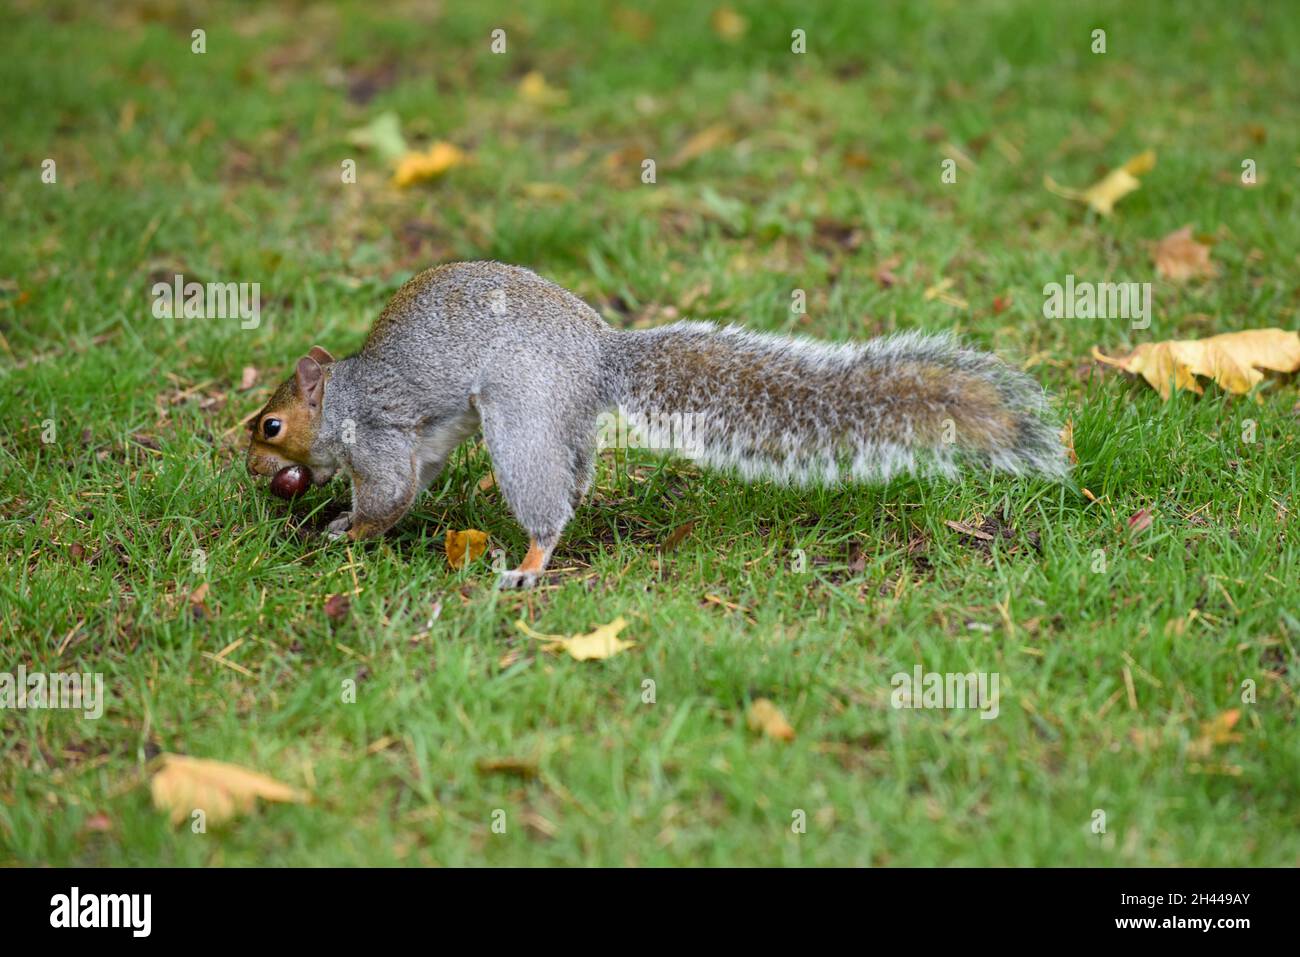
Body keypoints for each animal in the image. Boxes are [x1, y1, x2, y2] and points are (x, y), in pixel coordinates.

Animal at [245, 263, 1066, 590]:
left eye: (270, 425)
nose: (252, 470)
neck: (342, 397)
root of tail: (598, 355)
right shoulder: (420, 439)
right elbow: (415, 481)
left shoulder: (377, 432)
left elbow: (386, 492)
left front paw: (343, 530)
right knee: (574, 479)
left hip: (521, 416)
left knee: (549, 506)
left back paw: (531, 564)